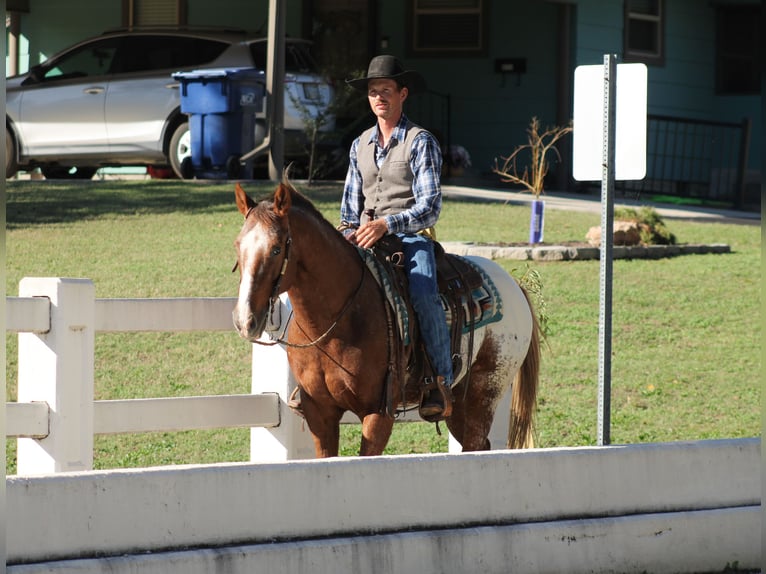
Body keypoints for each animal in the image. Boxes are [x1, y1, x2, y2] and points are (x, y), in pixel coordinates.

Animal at [232, 178, 540, 457]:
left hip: (486, 390)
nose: (245, 319)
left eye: (276, 248)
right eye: (237, 245)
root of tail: (513, 283)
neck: (335, 323)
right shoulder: (319, 411)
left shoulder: (378, 413)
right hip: (459, 401)